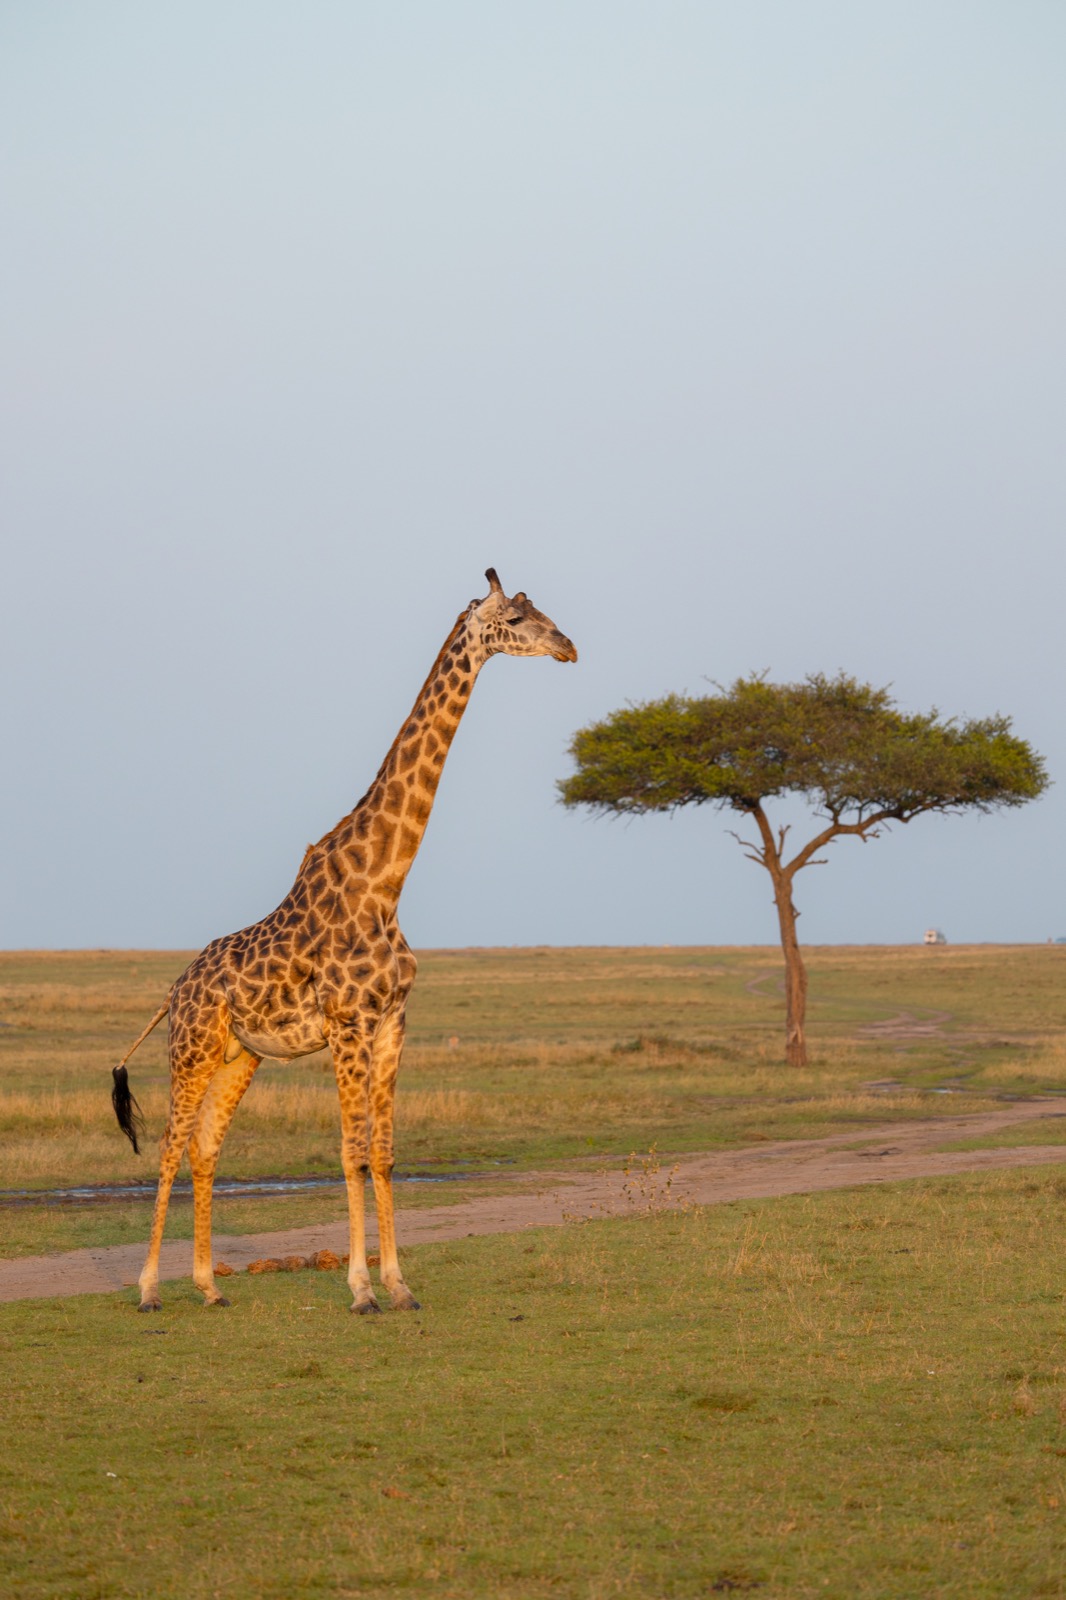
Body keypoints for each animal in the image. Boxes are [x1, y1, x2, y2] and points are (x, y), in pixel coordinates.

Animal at [111, 569, 577, 1314]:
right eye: (513, 617)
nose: (567, 645)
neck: (384, 883)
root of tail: (173, 990)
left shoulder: (392, 1023)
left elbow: (382, 1153)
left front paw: (399, 1284)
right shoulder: (349, 1023)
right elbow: (350, 1152)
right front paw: (361, 1289)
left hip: (240, 1056)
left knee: (205, 1149)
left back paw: (209, 1287)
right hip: (191, 1049)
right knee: (168, 1146)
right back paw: (151, 1288)